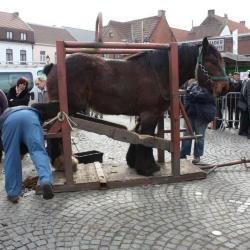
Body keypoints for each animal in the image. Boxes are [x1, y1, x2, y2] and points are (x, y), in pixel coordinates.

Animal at [33, 38, 229, 177]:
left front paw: (134, 162)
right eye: (212, 61)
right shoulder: (150, 113)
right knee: (49, 123)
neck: (160, 71)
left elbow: (138, 135)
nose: (226, 87)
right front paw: (147, 167)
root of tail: (54, 66)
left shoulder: (145, 114)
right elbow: (147, 138)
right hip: (67, 107)